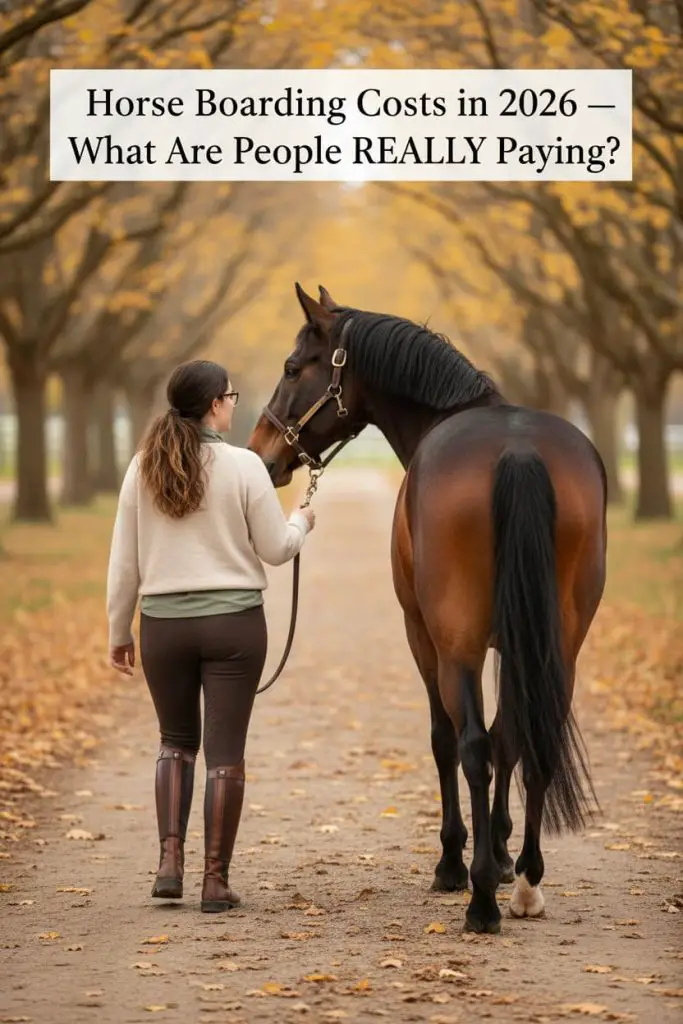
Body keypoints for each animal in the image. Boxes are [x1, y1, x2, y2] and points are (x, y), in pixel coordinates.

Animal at [247, 283, 606, 935]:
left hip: (457, 644)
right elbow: (510, 735)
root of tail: (518, 450)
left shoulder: (422, 635)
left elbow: (447, 739)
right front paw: (504, 852)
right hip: (562, 642)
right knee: (531, 739)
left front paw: (458, 861)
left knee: (470, 746)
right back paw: (527, 883)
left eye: (292, 367)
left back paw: (482, 898)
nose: (262, 455)